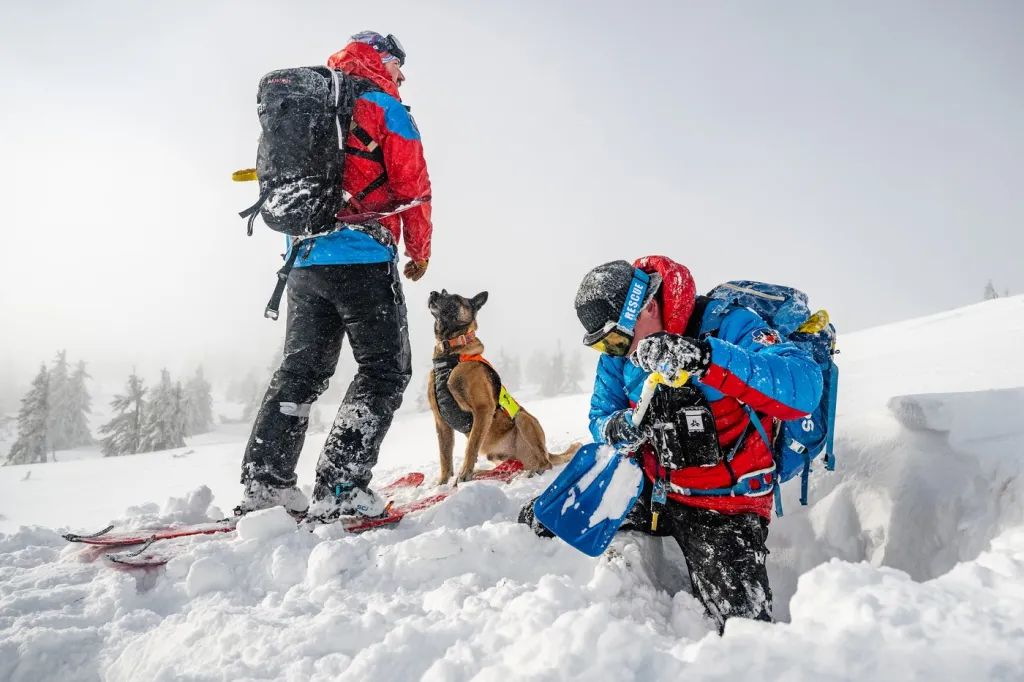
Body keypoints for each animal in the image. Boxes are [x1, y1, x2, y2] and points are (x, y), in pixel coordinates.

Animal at [425, 288, 585, 483]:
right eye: (443, 292)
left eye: (454, 298)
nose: (433, 293)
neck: (449, 355)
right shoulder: (441, 422)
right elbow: (445, 458)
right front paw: (442, 484)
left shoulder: (483, 408)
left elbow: (471, 447)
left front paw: (464, 475)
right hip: (498, 455)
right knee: (510, 467)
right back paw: (485, 473)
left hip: (523, 419)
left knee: (546, 463)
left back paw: (535, 471)